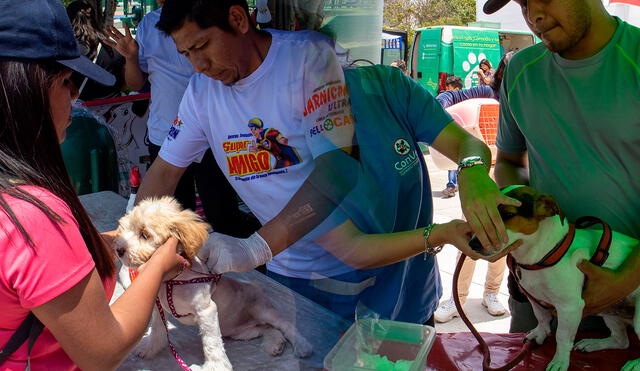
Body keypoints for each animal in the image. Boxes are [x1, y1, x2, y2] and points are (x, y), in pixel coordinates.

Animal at [115, 196, 316, 370]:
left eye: (144, 234)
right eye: (126, 228)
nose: (119, 250)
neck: (172, 281)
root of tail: (255, 287)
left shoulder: (207, 311)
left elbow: (212, 344)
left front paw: (215, 366)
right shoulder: (160, 309)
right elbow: (157, 330)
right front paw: (149, 348)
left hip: (264, 310)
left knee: (285, 325)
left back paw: (302, 345)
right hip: (243, 332)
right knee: (267, 329)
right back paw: (275, 343)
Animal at [472, 187, 636, 371]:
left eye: (508, 214)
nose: (473, 244)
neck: (542, 256)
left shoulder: (570, 307)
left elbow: (562, 337)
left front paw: (560, 361)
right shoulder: (534, 298)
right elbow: (542, 318)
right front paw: (539, 334)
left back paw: (634, 363)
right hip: (609, 309)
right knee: (622, 341)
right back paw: (593, 344)